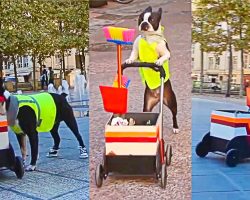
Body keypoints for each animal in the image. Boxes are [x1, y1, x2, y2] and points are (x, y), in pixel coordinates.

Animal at [126, 6, 179, 134]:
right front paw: (129, 60)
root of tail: (158, 97)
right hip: (147, 104)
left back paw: (175, 127)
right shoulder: (136, 50)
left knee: (174, 114)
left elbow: (164, 56)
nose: (144, 23)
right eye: (141, 18)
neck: (149, 37)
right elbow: (133, 55)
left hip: (171, 101)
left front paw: (159, 62)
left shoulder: (166, 53)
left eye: (152, 19)